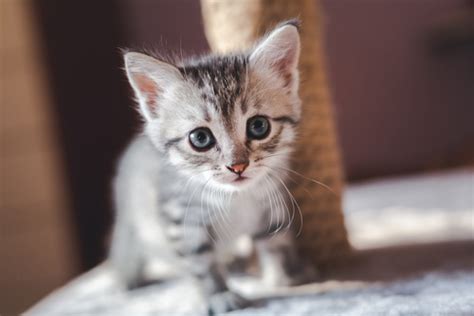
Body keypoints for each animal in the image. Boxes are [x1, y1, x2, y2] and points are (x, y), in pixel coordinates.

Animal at [109, 19, 310, 314]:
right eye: (200, 138)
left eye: (259, 126)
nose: (237, 166)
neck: (236, 198)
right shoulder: (181, 219)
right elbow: (202, 263)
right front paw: (219, 295)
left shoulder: (270, 202)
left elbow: (273, 239)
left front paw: (284, 276)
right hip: (131, 220)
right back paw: (126, 278)